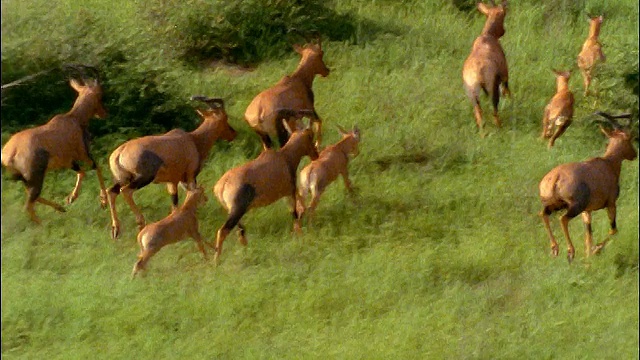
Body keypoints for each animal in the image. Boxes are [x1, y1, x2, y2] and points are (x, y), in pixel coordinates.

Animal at [0, 67, 108, 225]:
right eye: (100, 94)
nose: (104, 113)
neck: (72, 118)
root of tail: (8, 155)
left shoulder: (68, 161)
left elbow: (81, 173)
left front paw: (70, 198)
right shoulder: (83, 154)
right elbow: (97, 167)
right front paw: (104, 202)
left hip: (26, 180)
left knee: (32, 198)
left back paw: (60, 208)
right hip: (35, 178)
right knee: (28, 205)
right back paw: (44, 225)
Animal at [106, 95, 236, 239]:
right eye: (225, 117)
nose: (233, 134)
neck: (192, 139)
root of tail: (120, 152)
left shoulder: (172, 182)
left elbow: (174, 206)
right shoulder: (190, 176)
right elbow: (192, 195)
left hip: (122, 178)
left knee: (111, 191)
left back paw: (116, 230)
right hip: (143, 178)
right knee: (126, 191)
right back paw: (141, 223)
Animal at [211, 119, 318, 266]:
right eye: (310, 136)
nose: (316, 155)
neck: (284, 157)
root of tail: (221, 185)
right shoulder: (289, 193)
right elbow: (295, 215)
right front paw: (301, 236)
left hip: (233, 211)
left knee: (240, 232)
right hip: (237, 211)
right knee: (222, 231)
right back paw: (216, 262)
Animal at [462, 0, 512, 136]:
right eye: (503, 14)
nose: (503, 31)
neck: (487, 37)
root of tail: (478, 71)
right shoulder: (504, 74)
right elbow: (507, 91)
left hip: (472, 92)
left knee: (478, 113)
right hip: (491, 87)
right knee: (494, 109)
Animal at [540, 111, 636, 262]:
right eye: (630, 138)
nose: (634, 154)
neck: (607, 163)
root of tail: (556, 177)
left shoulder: (587, 211)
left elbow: (588, 237)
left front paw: (589, 257)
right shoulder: (611, 204)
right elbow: (613, 230)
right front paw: (597, 250)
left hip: (555, 205)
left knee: (543, 214)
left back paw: (555, 248)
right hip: (575, 206)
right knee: (563, 219)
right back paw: (570, 251)